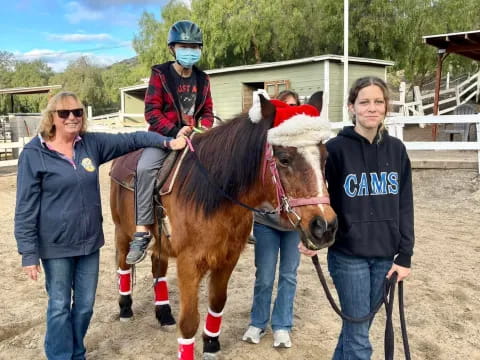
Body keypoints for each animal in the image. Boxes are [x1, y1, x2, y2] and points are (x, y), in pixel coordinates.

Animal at [110, 96, 338, 360]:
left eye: (325, 157)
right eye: (284, 159)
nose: (325, 226)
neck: (212, 194)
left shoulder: (227, 259)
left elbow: (218, 302)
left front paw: (211, 344)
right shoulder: (189, 264)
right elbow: (189, 321)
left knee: (158, 267)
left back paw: (164, 313)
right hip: (122, 232)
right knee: (123, 265)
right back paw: (125, 309)